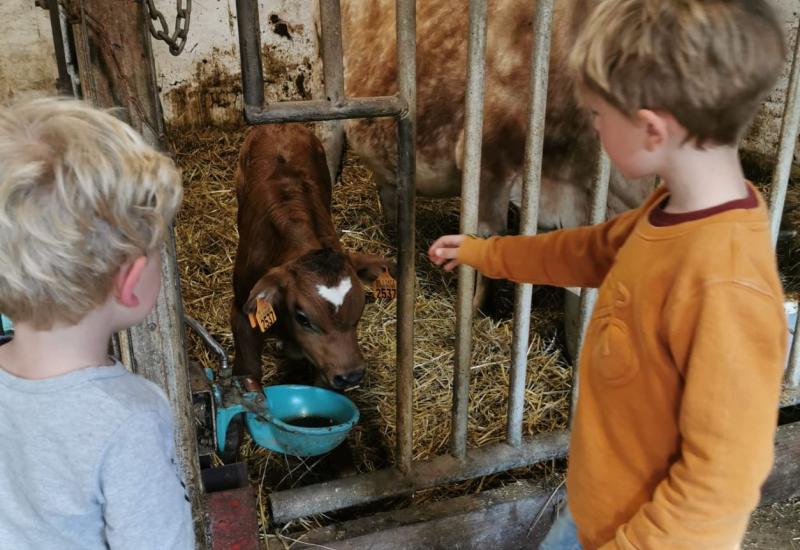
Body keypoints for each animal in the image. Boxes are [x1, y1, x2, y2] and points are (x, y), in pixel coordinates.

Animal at [231, 125, 394, 392]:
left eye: (360, 306)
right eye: (302, 318)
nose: (351, 375)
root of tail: (280, 126)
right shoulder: (241, 312)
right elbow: (248, 371)